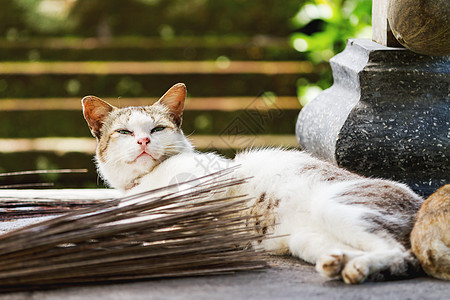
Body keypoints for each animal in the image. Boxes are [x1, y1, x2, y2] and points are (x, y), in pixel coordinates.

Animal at [82, 82, 424, 284]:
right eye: (124, 132)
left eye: (157, 129)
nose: (143, 140)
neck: (143, 183)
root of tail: (421, 202)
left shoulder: (214, 182)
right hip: (305, 239)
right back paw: (338, 263)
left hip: (338, 208)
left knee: (401, 253)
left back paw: (357, 269)